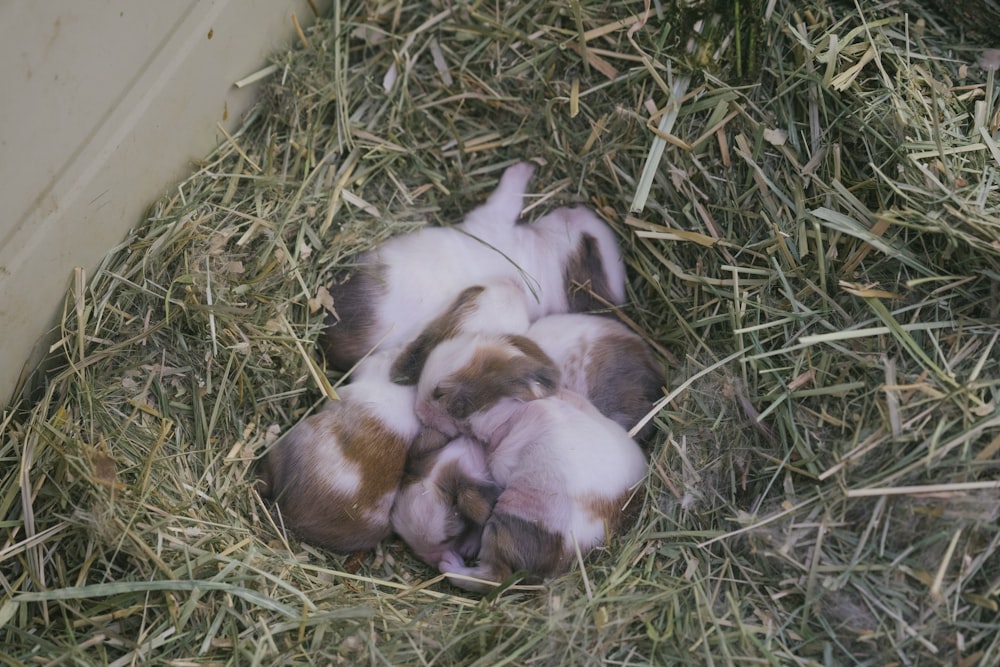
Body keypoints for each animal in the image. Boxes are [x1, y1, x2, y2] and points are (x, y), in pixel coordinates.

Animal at [318, 161, 624, 370]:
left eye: (590, 246)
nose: (584, 207)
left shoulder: (492, 218)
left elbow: (507, 195)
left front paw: (522, 169)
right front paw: (528, 166)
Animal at [414, 336, 648, 592]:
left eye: (440, 394)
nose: (418, 411)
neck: (513, 409)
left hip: (507, 519)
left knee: (495, 577)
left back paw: (450, 564)